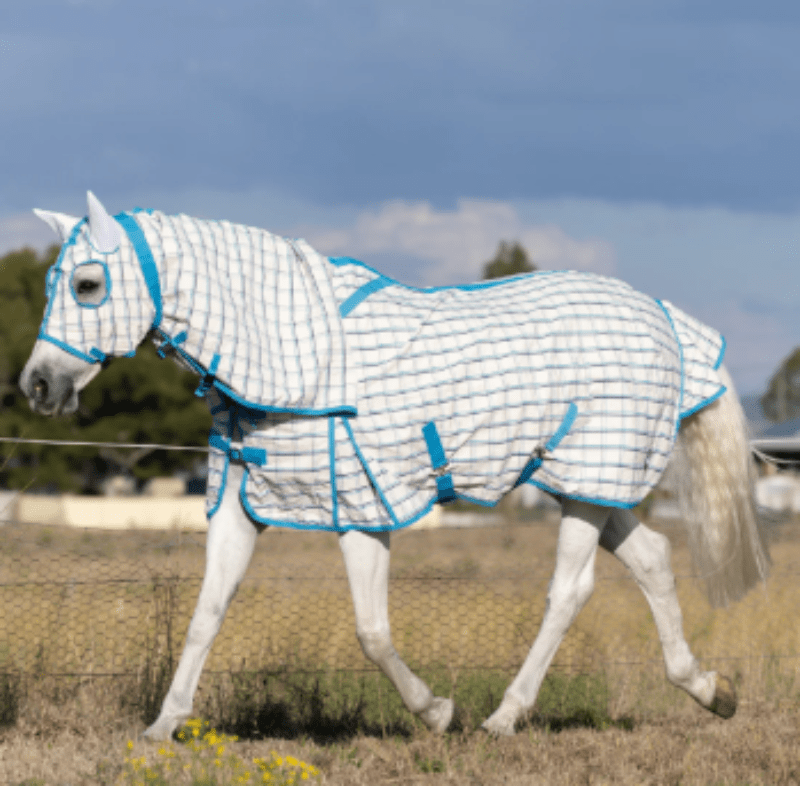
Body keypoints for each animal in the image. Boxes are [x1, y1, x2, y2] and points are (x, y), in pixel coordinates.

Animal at [20, 192, 770, 738]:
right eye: (57, 280)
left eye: (87, 284)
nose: (37, 385)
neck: (299, 365)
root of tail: (662, 319)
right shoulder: (240, 503)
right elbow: (207, 612)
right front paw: (163, 726)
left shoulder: (361, 509)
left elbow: (372, 632)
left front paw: (439, 713)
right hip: (581, 484)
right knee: (654, 559)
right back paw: (712, 690)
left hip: (589, 482)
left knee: (570, 591)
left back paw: (503, 717)